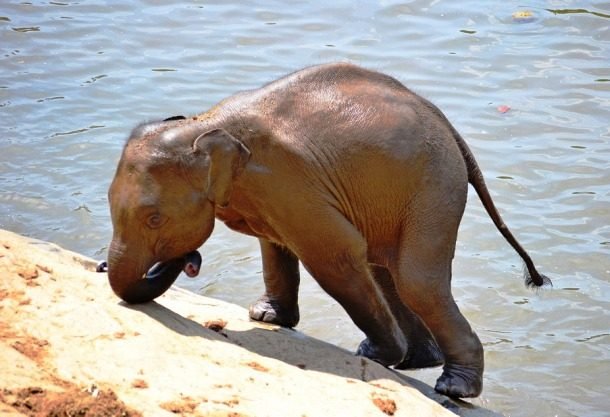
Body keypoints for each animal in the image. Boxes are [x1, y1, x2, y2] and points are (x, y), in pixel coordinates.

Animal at [105, 62, 550, 398]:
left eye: (154, 219)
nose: (190, 261)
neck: (204, 124)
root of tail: (449, 128)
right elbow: (275, 245)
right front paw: (266, 317)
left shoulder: (290, 183)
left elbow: (333, 256)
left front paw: (383, 354)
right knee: (386, 271)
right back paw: (414, 361)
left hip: (435, 187)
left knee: (415, 281)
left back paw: (449, 385)